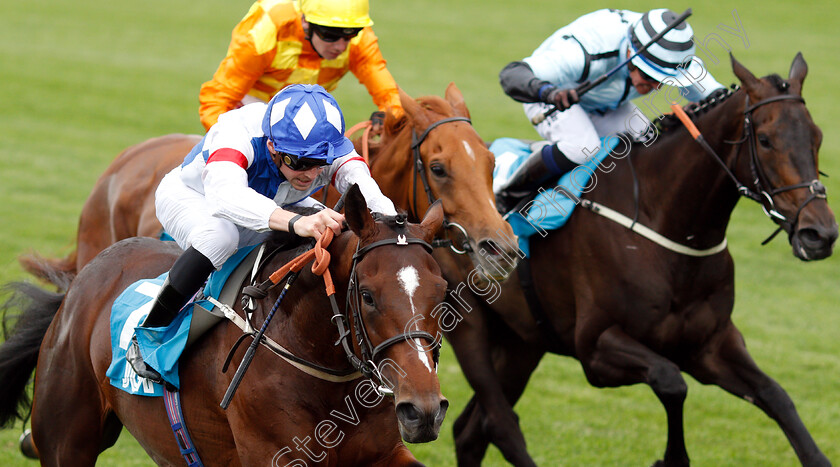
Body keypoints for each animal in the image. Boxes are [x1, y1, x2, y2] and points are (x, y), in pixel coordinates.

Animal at [0, 185, 452, 466]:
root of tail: (81, 282)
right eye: (369, 296)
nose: (423, 411)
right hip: (66, 441)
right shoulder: (276, 453)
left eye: (443, 291)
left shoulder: (382, 453)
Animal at [446, 54, 832, 464]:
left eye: (818, 137)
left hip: (522, 341)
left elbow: (776, 395)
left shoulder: (710, 344)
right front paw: (673, 456)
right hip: (470, 328)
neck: (665, 223)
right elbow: (671, 380)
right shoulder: (595, 347)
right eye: (766, 140)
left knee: (471, 431)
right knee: (499, 424)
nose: (820, 233)